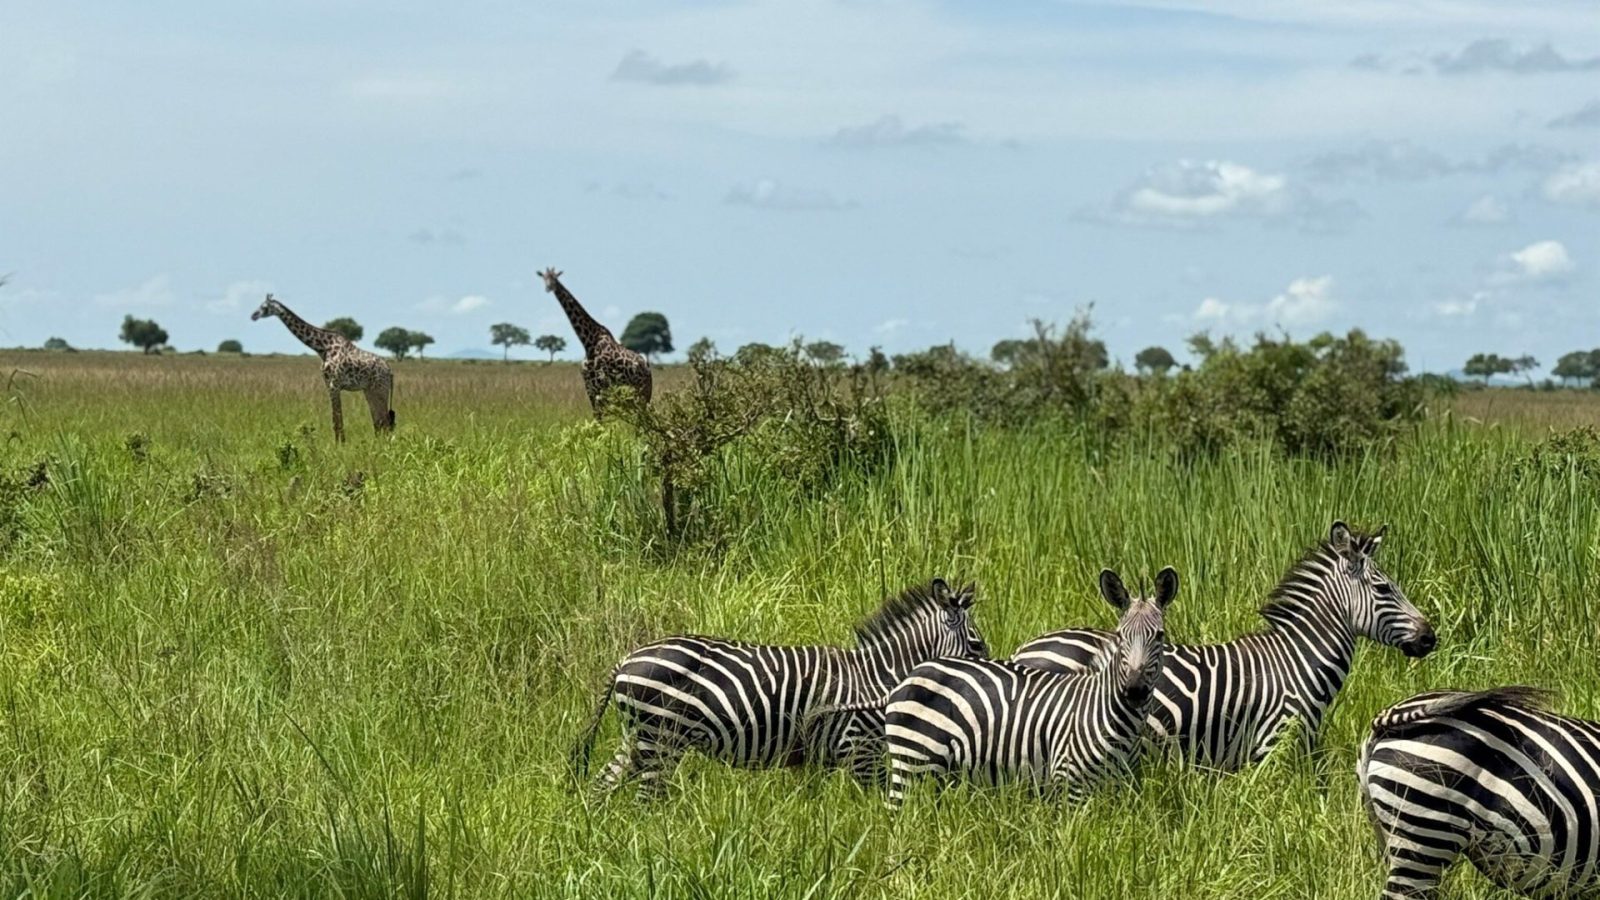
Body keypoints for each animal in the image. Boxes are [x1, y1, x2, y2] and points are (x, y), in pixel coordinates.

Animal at [250, 294, 395, 442]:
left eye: (264, 307)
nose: (253, 315)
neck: (322, 347)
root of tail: (389, 371)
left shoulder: (334, 385)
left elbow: (337, 419)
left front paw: (340, 444)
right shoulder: (328, 384)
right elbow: (336, 419)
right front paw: (339, 443)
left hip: (380, 388)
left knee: (385, 420)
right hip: (369, 390)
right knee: (379, 421)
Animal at [540, 268, 652, 418]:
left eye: (554, 278)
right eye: (544, 277)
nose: (548, 287)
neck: (588, 342)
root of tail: (647, 368)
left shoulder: (601, 386)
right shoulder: (590, 388)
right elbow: (598, 419)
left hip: (641, 393)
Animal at [571, 578, 988, 798]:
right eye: (978, 645)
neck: (878, 676)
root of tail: (626, 659)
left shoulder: (824, 755)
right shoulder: (859, 749)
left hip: (638, 736)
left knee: (602, 788)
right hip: (661, 737)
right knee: (646, 798)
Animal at [880, 567, 1177, 809]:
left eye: (1159, 636)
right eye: (1120, 636)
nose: (1135, 690)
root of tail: (916, 670)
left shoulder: (1119, 790)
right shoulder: (1069, 787)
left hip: (937, 772)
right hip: (911, 762)